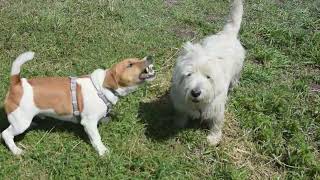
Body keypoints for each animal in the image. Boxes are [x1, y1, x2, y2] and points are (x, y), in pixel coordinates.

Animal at [2, 51, 155, 155]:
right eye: (130, 64)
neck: (101, 88)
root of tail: (17, 83)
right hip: (20, 123)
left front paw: (105, 119)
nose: (149, 56)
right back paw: (16, 150)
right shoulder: (89, 123)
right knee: (6, 134)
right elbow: (96, 138)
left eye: (137, 58)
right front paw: (102, 151)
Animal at [170, 0, 245, 146]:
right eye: (189, 74)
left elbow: (216, 124)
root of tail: (227, 33)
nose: (195, 92)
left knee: (235, 79)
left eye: (208, 77)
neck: (198, 104)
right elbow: (181, 114)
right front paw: (178, 123)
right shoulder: (181, 102)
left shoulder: (217, 109)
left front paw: (213, 138)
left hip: (237, 70)